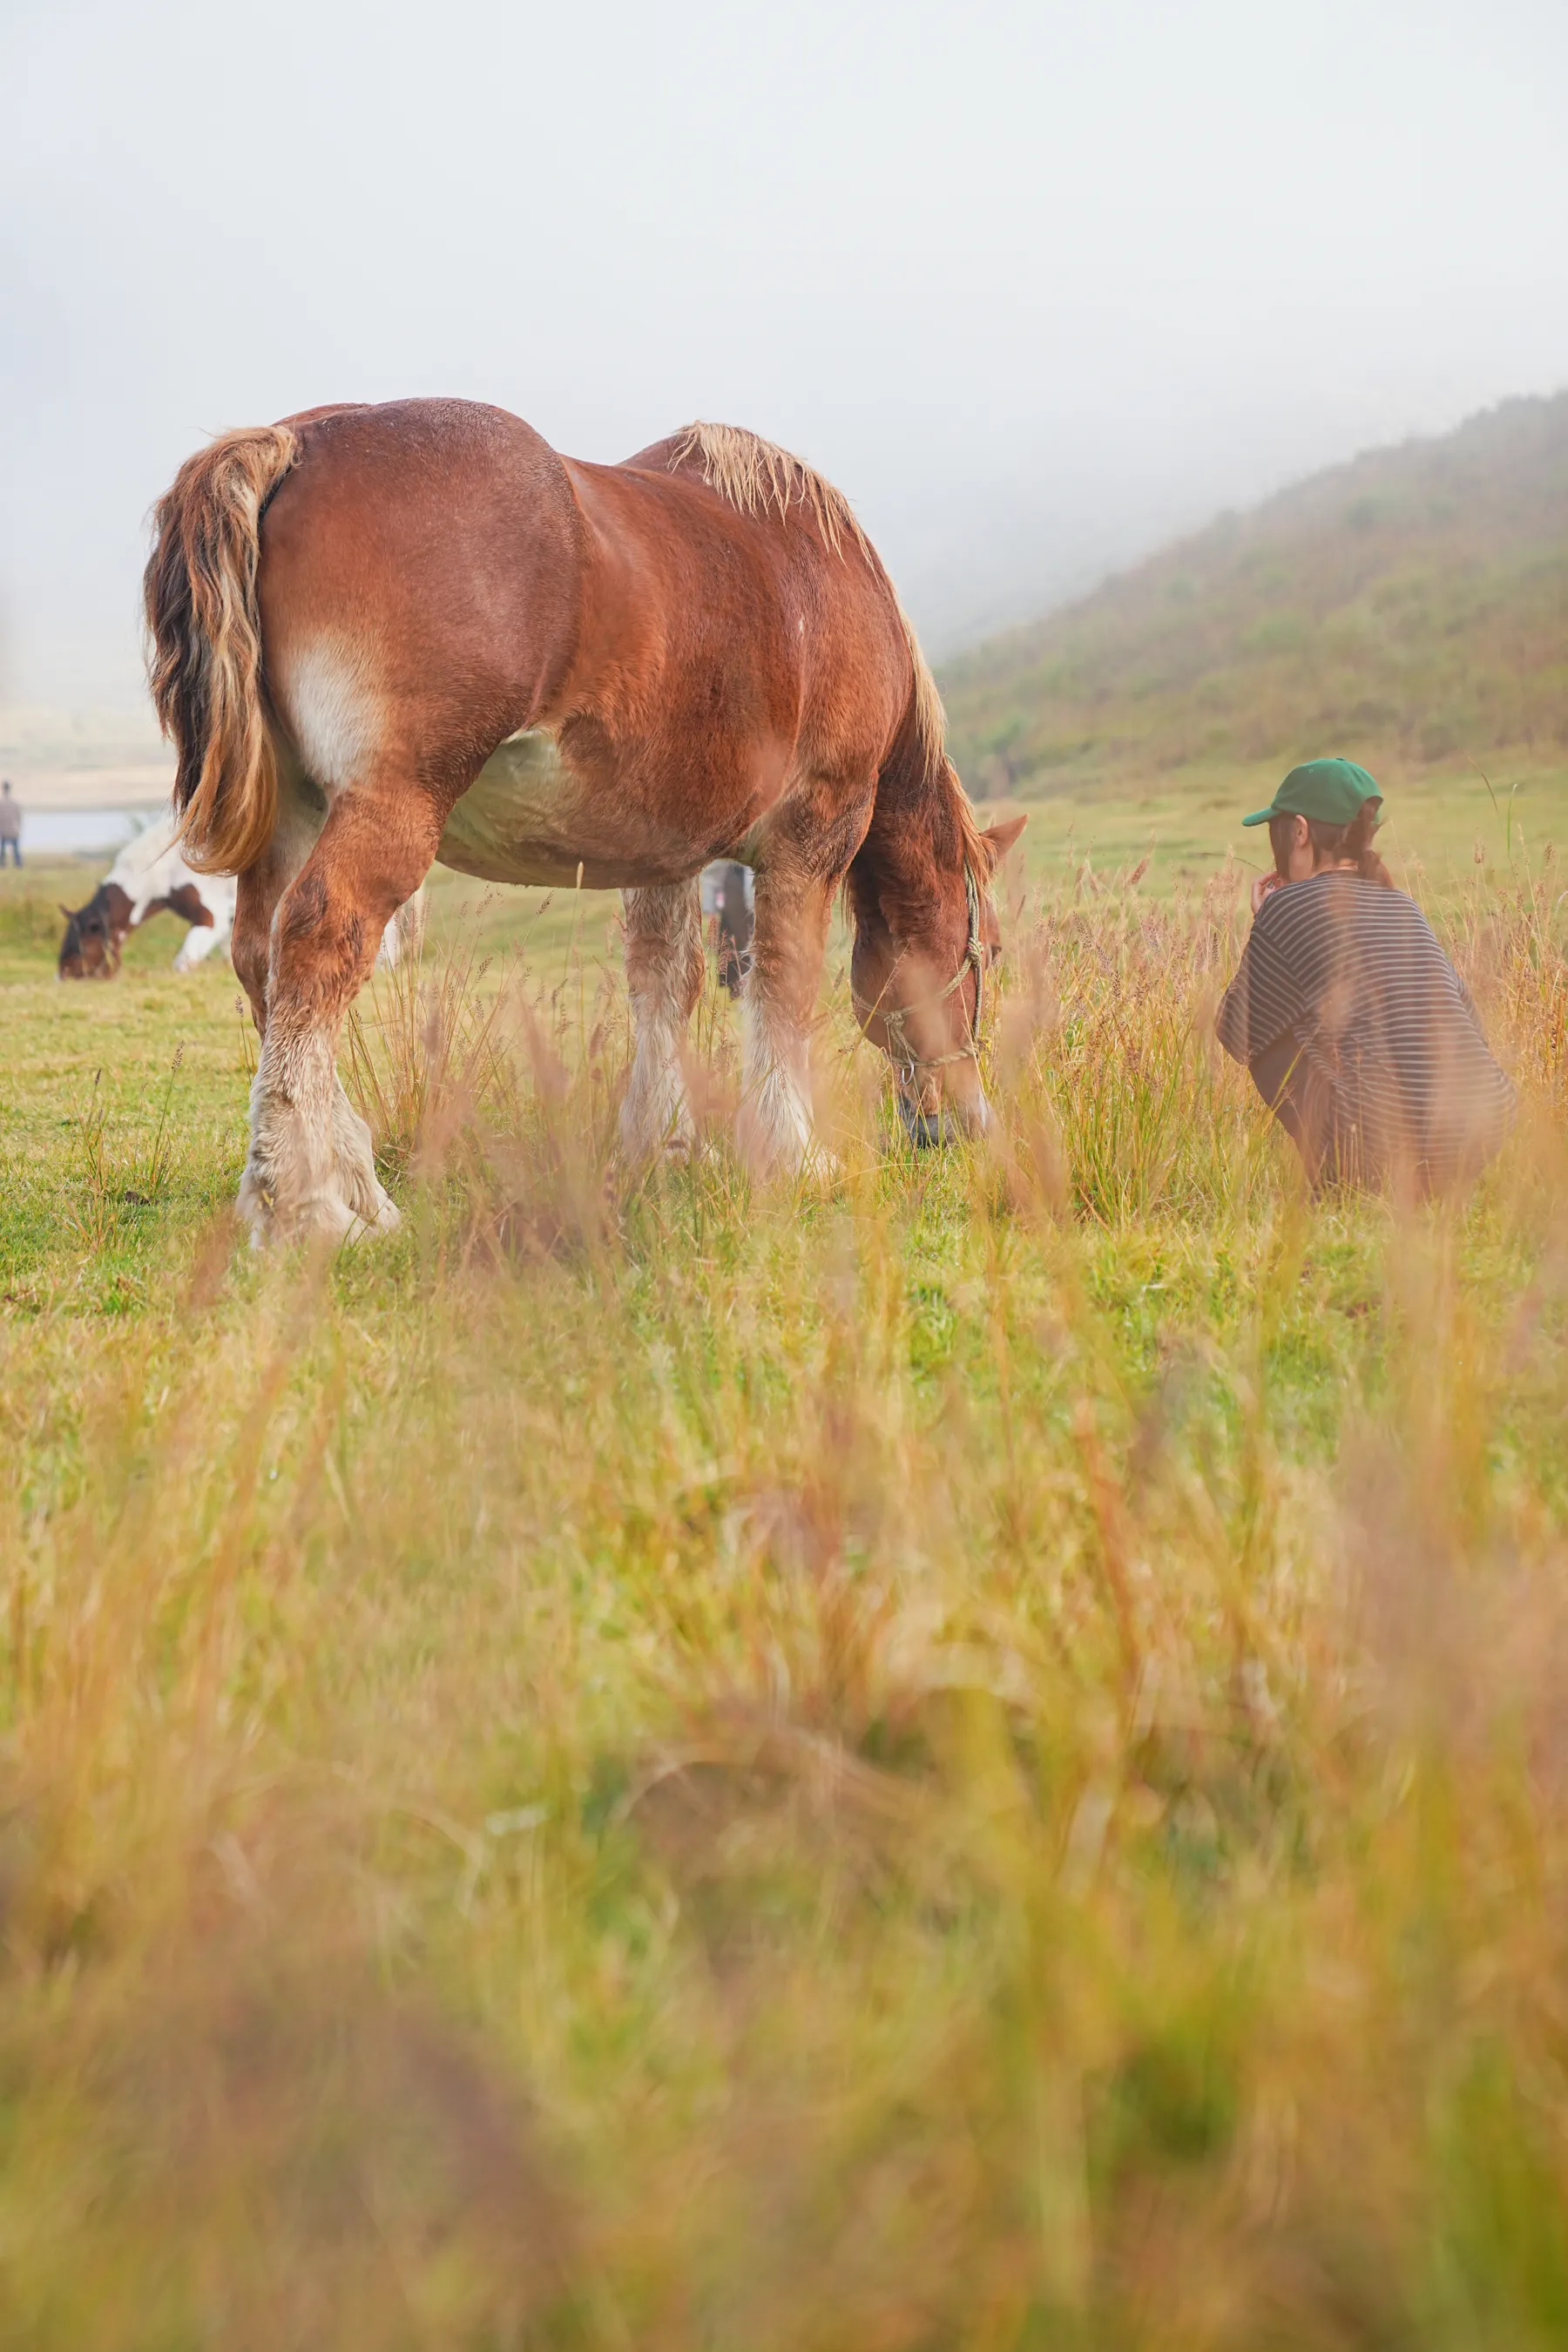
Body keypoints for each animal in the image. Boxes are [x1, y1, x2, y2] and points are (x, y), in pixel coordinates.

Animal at [144, 400, 1030, 1251]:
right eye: (985, 956)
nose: (965, 1123)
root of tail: (296, 442)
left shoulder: (669, 855)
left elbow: (666, 982)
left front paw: (665, 1146)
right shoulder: (812, 837)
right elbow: (782, 984)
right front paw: (791, 1153)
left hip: (298, 810)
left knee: (261, 958)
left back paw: (353, 1184)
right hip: (388, 809)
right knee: (316, 944)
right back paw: (306, 1205)